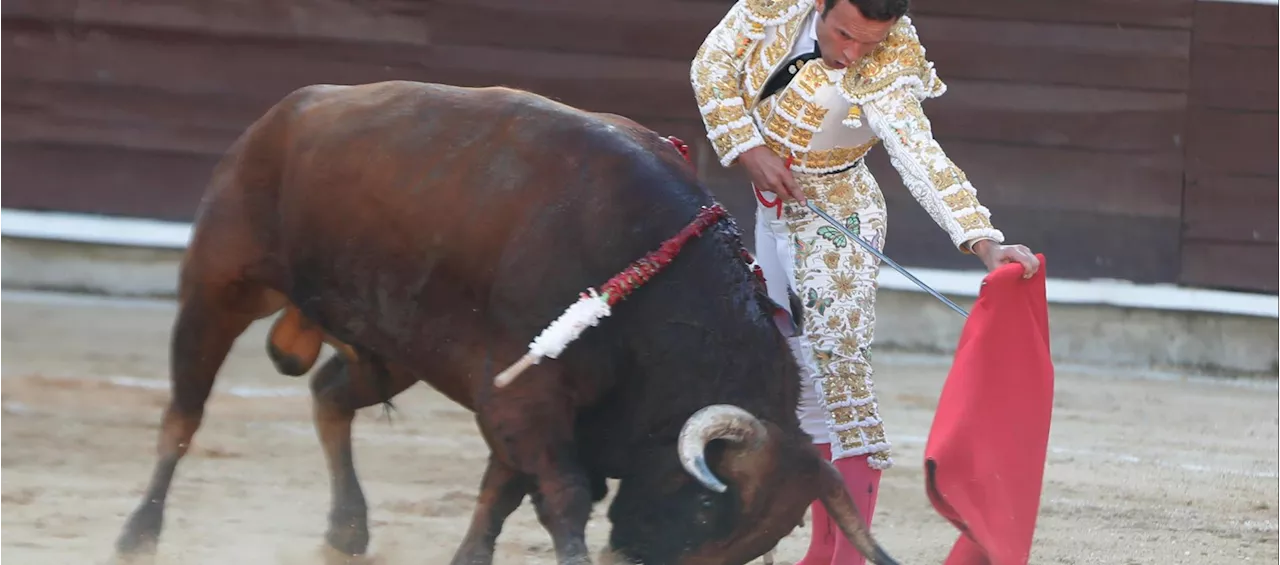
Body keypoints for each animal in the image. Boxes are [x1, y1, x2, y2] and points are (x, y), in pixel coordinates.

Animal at [112, 79, 901, 563]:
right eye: (712, 515)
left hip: (387, 343)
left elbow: (502, 490)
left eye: (752, 545)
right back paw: (139, 532)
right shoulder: (527, 394)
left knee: (330, 395)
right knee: (183, 411)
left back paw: (347, 527)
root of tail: (291, 109)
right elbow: (560, 495)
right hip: (219, 283)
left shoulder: (512, 396)